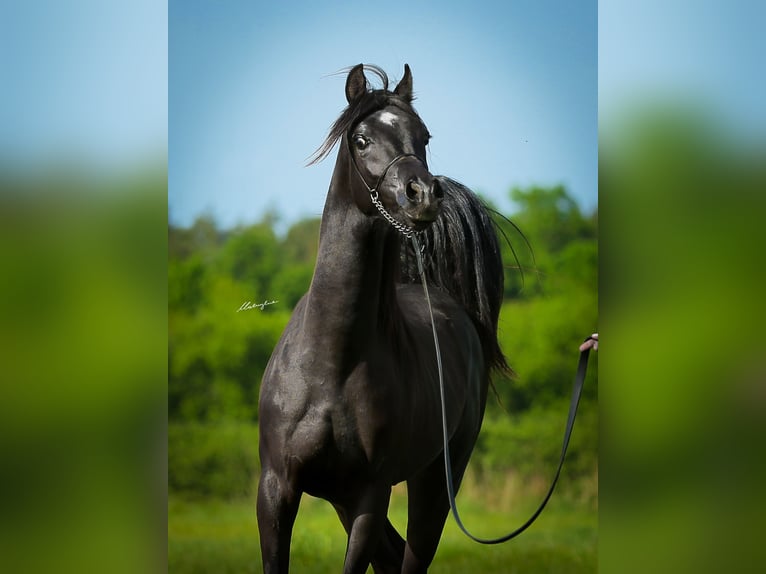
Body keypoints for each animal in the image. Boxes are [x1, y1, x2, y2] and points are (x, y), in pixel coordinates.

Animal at [257, 63, 509, 574]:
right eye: (361, 139)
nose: (422, 194)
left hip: (435, 481)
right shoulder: (276, 490)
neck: (330, 364)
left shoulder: (369, 496)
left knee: (412, 557)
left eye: (424, 136)